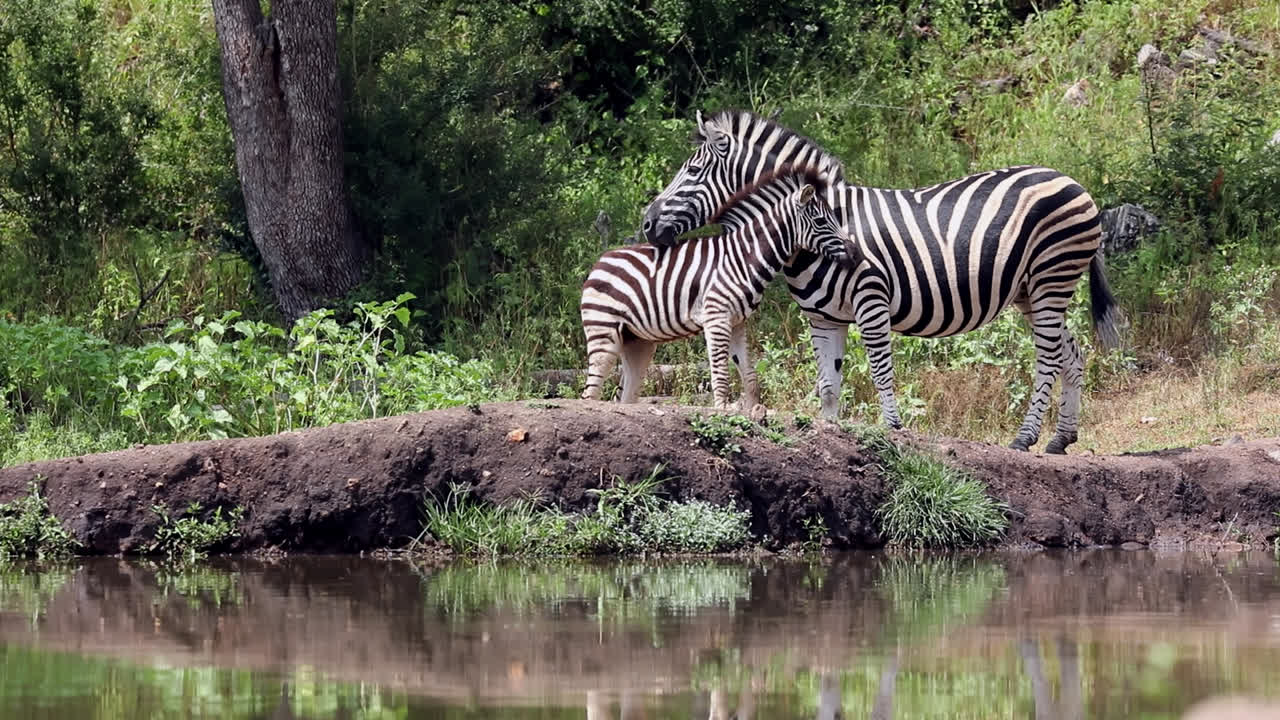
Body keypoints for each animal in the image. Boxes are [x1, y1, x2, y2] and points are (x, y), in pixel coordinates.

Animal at [580, 167, 855, 408]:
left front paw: (753, 412)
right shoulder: (716, 318)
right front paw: (723, 409)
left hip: (638, 342)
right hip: (604, 332)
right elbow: (720, 375)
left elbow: (750, 377)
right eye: (821, 220)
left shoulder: (737, 323)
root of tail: (599, 262)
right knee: (589, 394)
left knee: (625, 395)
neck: (744, 257)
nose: (853, 253)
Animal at [640, 110, 1121, 454]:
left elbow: (880, 372)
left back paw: (1025, 438)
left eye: (693, 172)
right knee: (1071, 352)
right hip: (1031, 291)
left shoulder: (871, 300)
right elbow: (828, 386)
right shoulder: (822, 318)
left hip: (1051, 276)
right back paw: (1060, 439)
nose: (646, 224)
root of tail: (1072, 180)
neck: (816, 228)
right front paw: (830, 435)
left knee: (1048, 358)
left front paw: (893, 430)